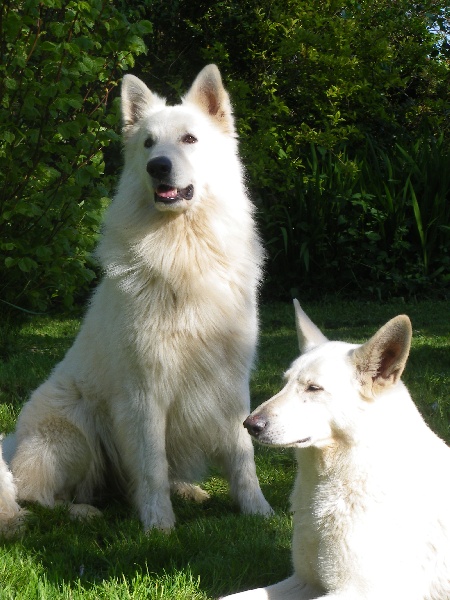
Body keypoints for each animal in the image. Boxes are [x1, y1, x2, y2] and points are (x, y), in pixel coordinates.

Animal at [8, 65, 272, 532]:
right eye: (148, 143)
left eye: (189, 139)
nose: (157, 166)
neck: (183, 249)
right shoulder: (143, 391)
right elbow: (150, 465)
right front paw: (158, 526)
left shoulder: (231, 382)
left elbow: (243, 455)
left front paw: (258, 511)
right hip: (73, 430)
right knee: (38, 497)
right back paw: (82, 511)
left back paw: (185, 490)